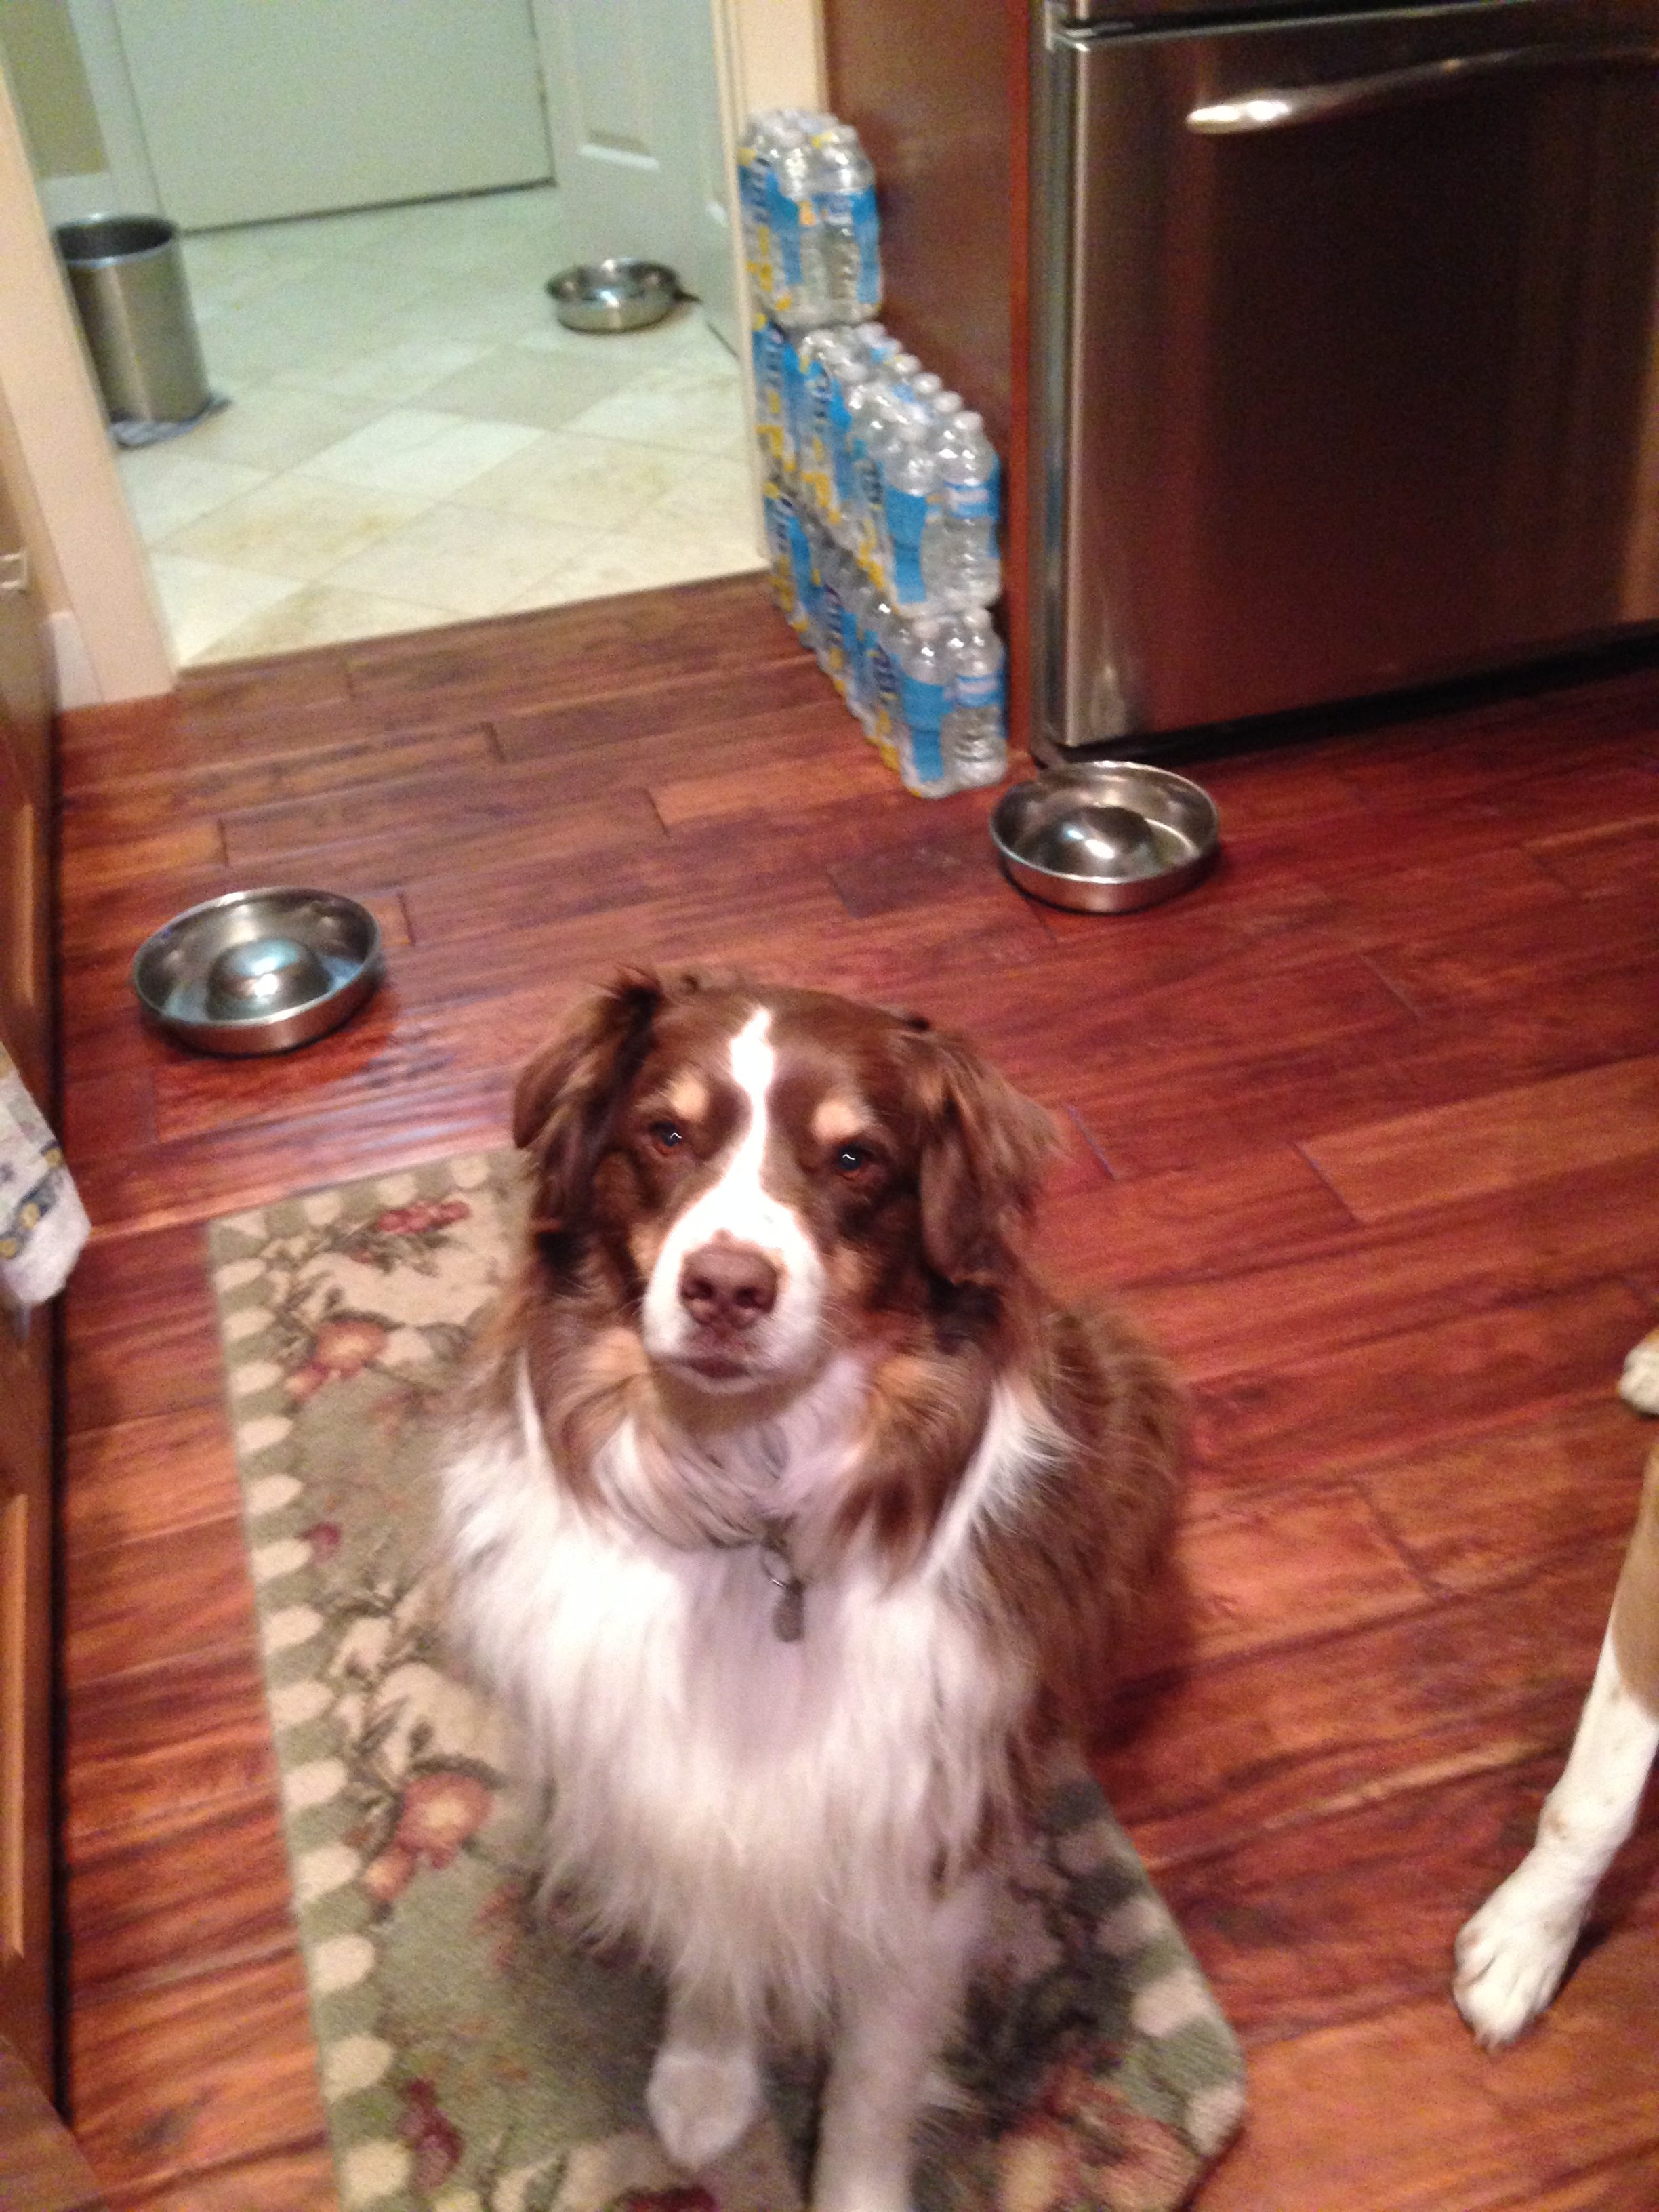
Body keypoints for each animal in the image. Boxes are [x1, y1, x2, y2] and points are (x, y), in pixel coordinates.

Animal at [440, 970, 1184, 2212]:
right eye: (667, 1133)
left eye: (854, 1158)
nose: (725, 1290)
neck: (759, 1506)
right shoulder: (674, 1787)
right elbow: (711, 1931)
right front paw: (704, 2077)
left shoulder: (922, 1842)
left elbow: (877, 2076)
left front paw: (852, 2182)